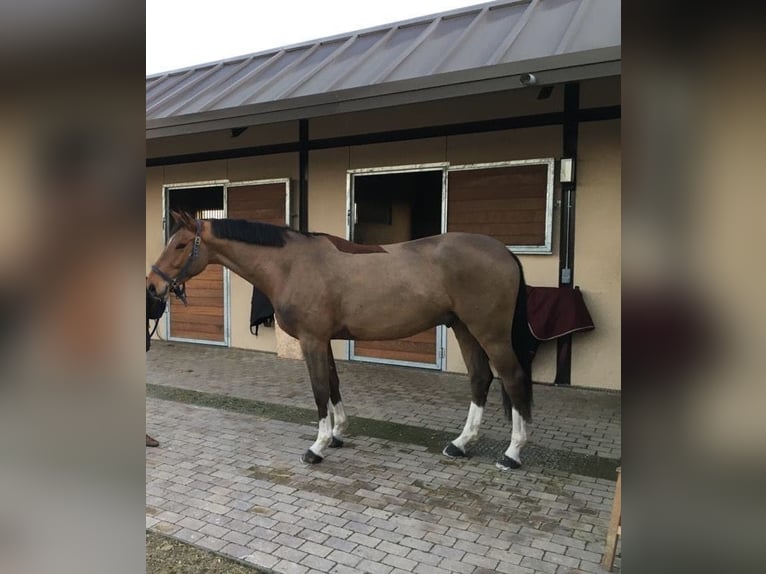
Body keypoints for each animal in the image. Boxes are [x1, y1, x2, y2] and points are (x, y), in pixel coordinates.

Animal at [148, 213, 536, 472]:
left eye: (180, 244)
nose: (153, 286)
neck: (291, 264)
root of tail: (504, 252)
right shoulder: (325, 340)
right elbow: (333, 383)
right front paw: (337, 434)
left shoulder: (312, 340)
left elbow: (320, 389)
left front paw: (317, 446)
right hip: (464, 329)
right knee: (480, 378)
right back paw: (460, 444)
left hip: (489, 332)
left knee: (513, 378)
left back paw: (512, 453)